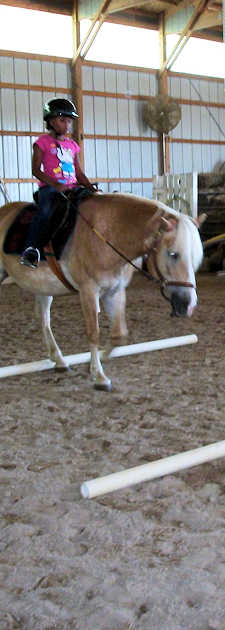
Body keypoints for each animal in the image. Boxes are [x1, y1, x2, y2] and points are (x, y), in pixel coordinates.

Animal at [0, 193, 203, 390]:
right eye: (173, 254)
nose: (189, 305)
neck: (108, 234)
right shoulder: (88, 291)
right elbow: (93, 333)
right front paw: (99, 376)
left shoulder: (115, 291)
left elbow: (119, 335)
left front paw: (98, 360)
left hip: (42, 287)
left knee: (44, 320)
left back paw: (59, 360)